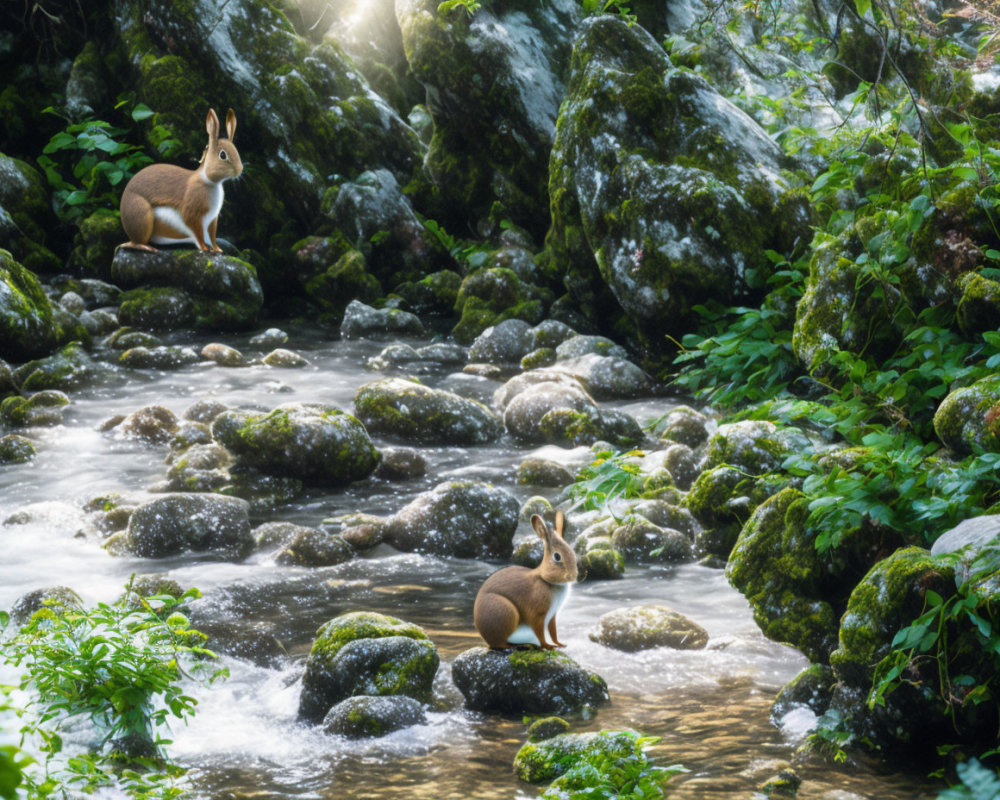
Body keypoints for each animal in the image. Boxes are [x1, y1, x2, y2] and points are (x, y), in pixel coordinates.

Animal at [120, 106, 243, 250]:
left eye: (236, 151)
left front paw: (217, 249)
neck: (209, 181)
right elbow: (197, 233)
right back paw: (147, 248)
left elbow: (212, 236)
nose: (240, 170)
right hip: (143, 216)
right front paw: (205, 249)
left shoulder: (212, 219)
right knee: (138, 242)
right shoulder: (193, 215)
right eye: (223, 155)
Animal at [476, 512, 580, 648]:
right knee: (501, 644)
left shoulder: (552, 615)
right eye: (557, 557)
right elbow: (540, 632)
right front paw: (547, 646)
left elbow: (553, 632)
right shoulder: (537, 614)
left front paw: (560, 644)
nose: (573, 576)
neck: (546, 580)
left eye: (573, 553)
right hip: (505, 611)